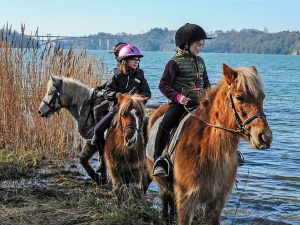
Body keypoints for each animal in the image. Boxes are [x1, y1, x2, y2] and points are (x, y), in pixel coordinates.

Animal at [146, 64, 274, 224]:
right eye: (240, 97)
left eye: (262, 96)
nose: (265, 137)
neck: (208, 149)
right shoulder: (186, 200)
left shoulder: (216, 203)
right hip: (162, 185)